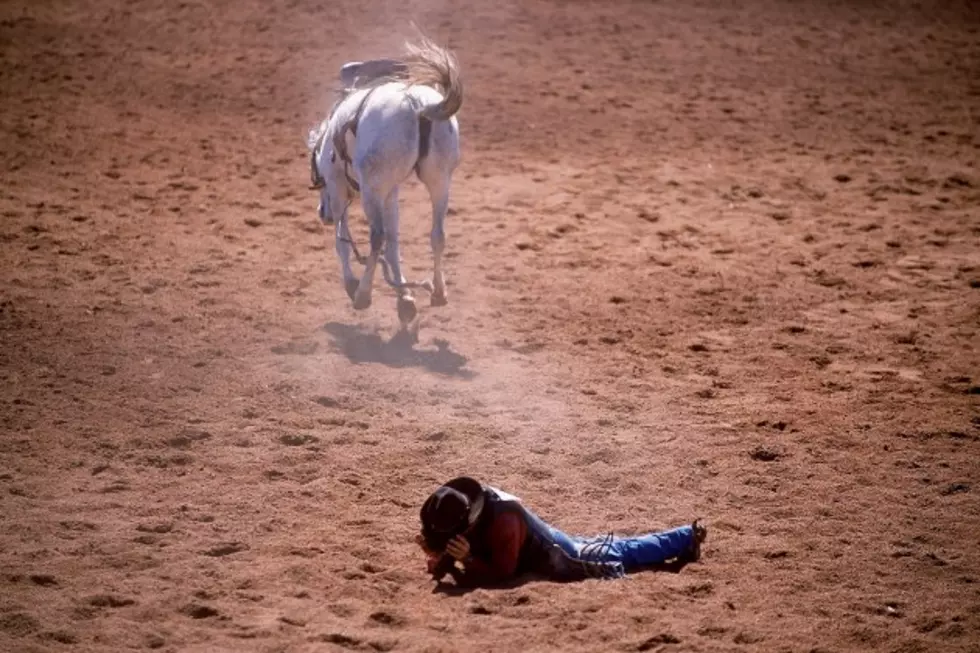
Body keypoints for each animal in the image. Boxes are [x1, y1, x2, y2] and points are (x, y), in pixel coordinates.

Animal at [306, 35, 464, 328]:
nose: (322, 214)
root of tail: (418, 104)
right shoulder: (391, 192)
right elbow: (394, 242)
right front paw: (405, 299)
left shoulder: (339, 188)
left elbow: (343, 240)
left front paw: (352, 283)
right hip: (439, 180)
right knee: (437, 234)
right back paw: (437, 292)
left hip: (372, 189)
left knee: (376, 237)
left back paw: (363, 294)